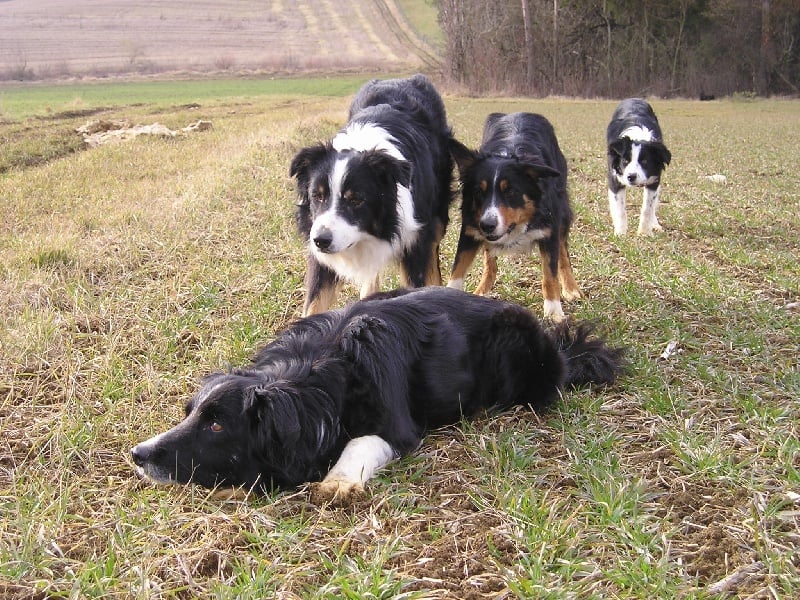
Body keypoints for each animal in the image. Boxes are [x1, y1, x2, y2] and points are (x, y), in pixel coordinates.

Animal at [131, 287, 624, 505]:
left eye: (216, 424)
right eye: (189, 413)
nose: (138, 454)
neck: (313, 375)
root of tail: (561, 351)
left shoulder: (396, 425)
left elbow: (363, 440)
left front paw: (338, 480)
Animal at [289, 74, 455, 316]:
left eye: (356, 200)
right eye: (317, 196)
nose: (321, 241)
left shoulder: (415, 241)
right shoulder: (320, 249)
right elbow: (314, 303)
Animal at [447, 112, 581, 322]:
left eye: (510, 192)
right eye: (478, 192)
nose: (487, 225)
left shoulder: (549, 229)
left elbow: (550, 274)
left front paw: (553, 312)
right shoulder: (470, 228)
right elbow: (458, 268)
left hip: (563, 211)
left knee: (563, 252)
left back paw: (571, 288)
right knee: (489, 260)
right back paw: (483, 289)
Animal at [606, 98, 672, 235]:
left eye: (645, 161)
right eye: (625, 160)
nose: (631, 177)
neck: (638, 136)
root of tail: (634, 98)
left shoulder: (654, 180)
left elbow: (648, 208)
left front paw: (644, 233)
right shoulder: (615, 178)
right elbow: (620, 209)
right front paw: (620, 234)